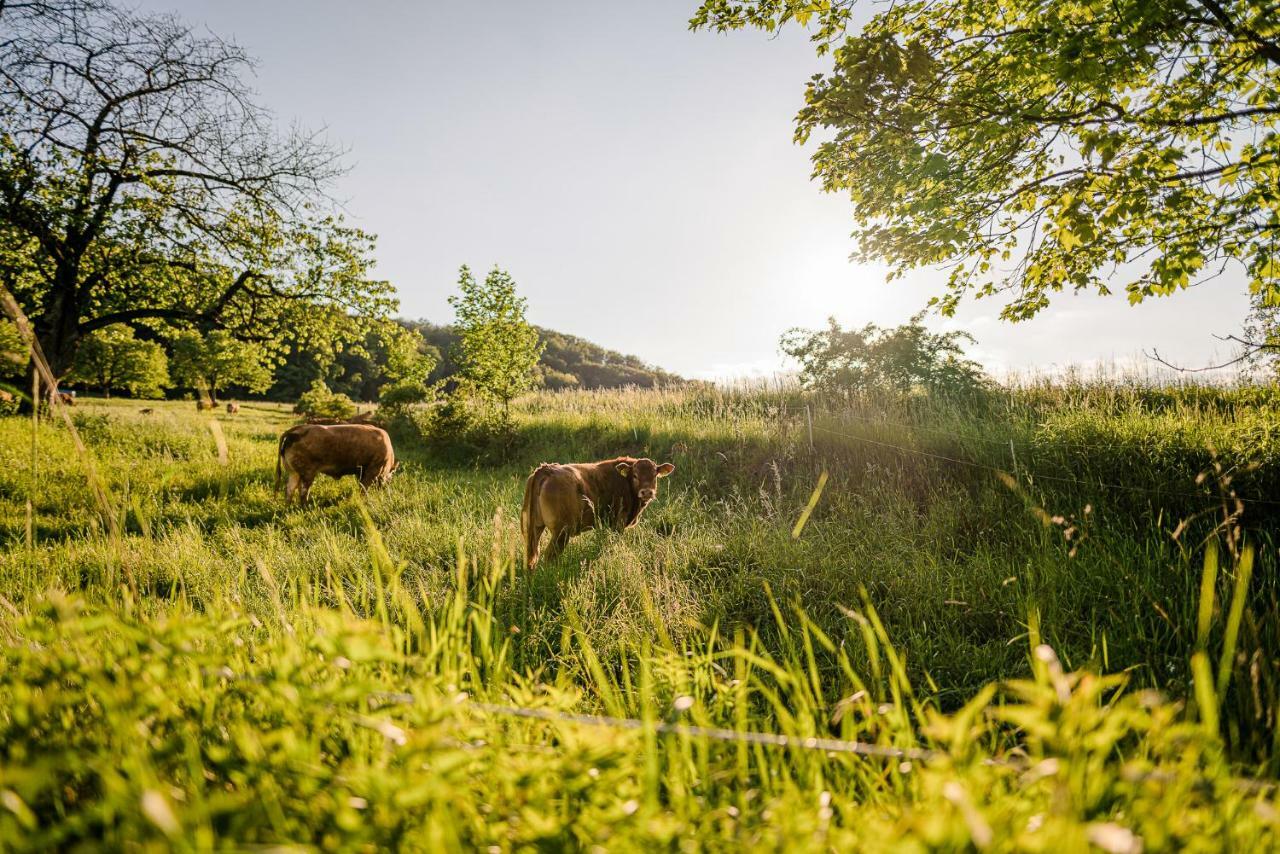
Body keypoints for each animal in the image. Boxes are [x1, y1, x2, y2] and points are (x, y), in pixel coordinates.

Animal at [522, 458, 675, 571]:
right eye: (635, 475)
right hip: (561, 532)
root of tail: (546, 469)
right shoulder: (618, 524)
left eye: (655, 475)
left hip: (534, 528)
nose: (647, 492)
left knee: (533, 555)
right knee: (549, 556)